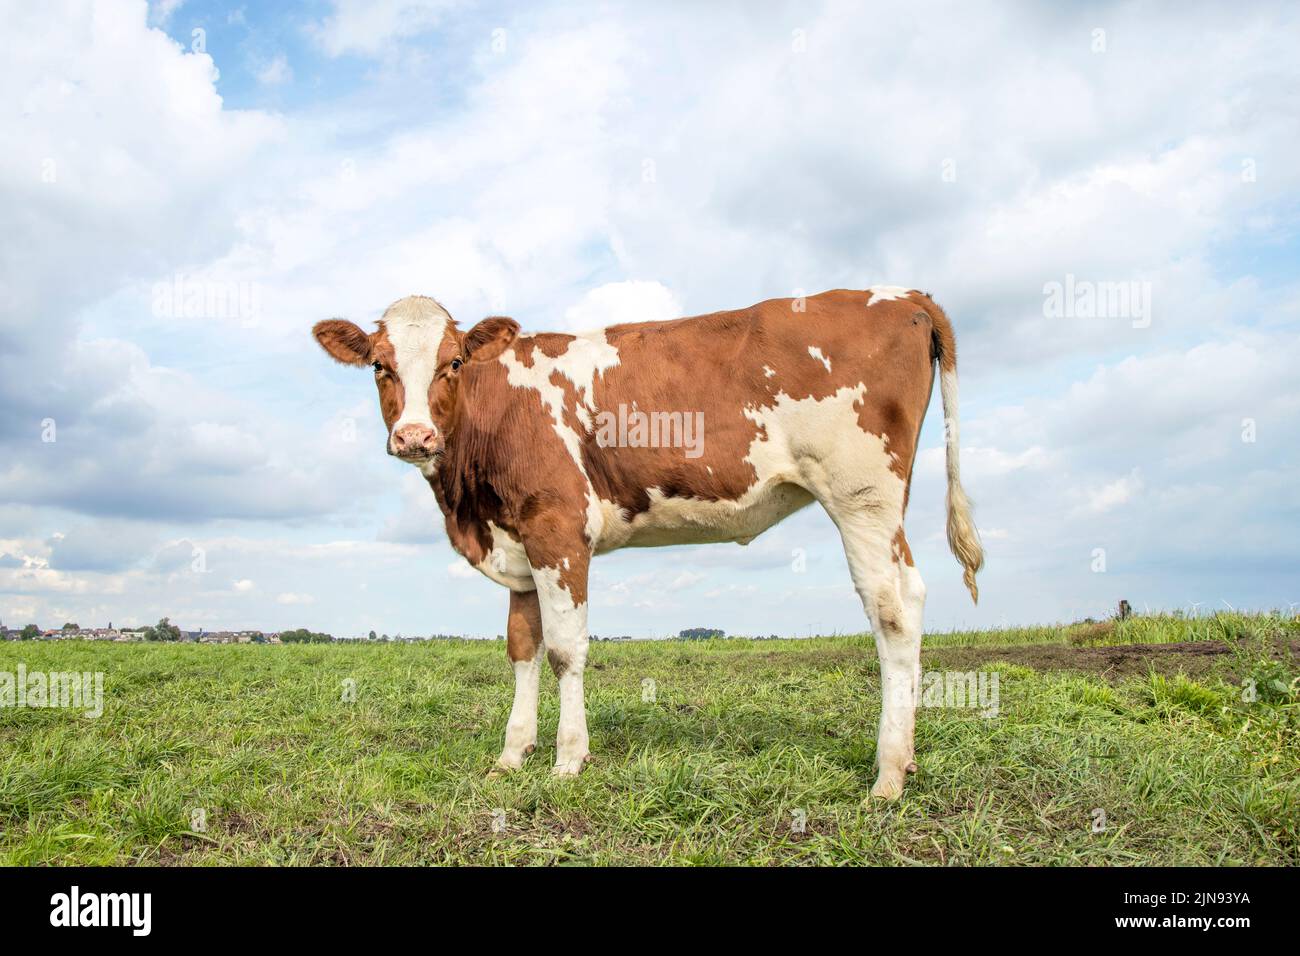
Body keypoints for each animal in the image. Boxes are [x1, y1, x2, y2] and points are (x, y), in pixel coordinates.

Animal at [317, 286, 982, 801]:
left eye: (454, 361)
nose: (415, 436)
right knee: (908, 597)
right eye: (379, 365)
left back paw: (888, 776)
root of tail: (904, 295)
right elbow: (522, 647)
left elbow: (565, 650)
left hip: (862, 494)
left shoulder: (559, 527)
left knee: (892, 610)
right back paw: (905, 758)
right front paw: (511, 755)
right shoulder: (519, 542)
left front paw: (567, 760)